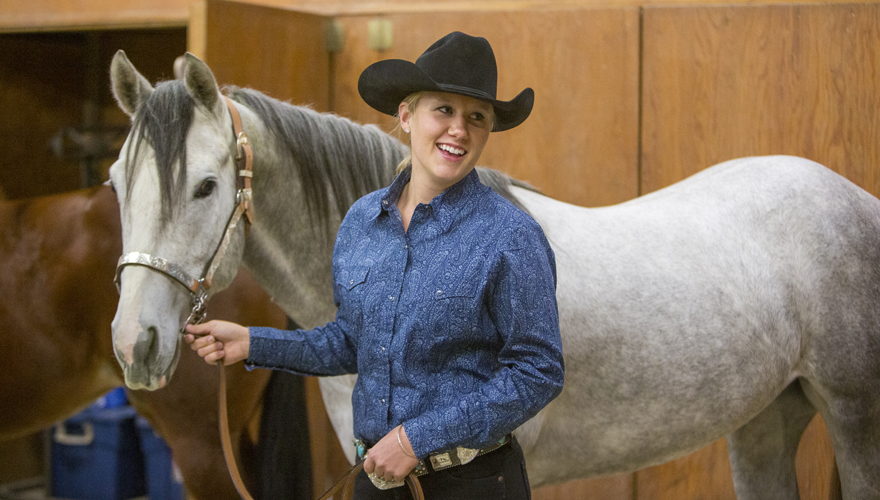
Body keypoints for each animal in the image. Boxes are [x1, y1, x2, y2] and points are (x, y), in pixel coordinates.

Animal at [110, 50, 880, 496]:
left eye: (206, 185)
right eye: (117, 182)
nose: (133, 345)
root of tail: (856, 199)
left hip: (853, 416)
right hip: (766, 420)